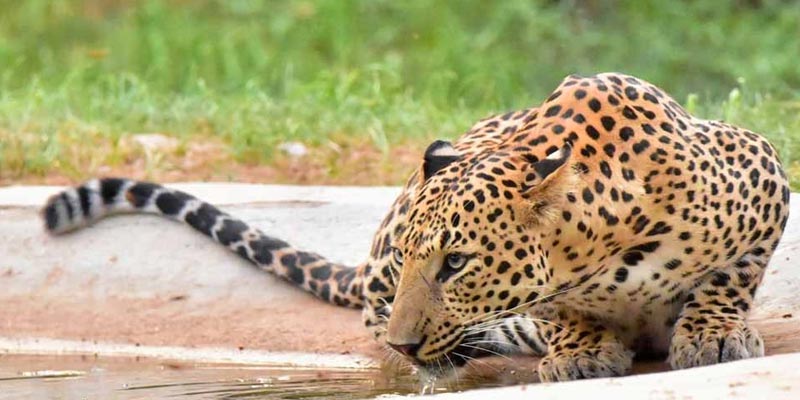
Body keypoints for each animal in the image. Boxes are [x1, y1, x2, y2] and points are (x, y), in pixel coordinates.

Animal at [42, 73, 790, 383]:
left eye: (456, 263)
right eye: (413, 261)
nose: (405, 345)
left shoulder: (761, 165)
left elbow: (730, 274)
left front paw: (714, 334)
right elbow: (561, 311)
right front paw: (580, 348)